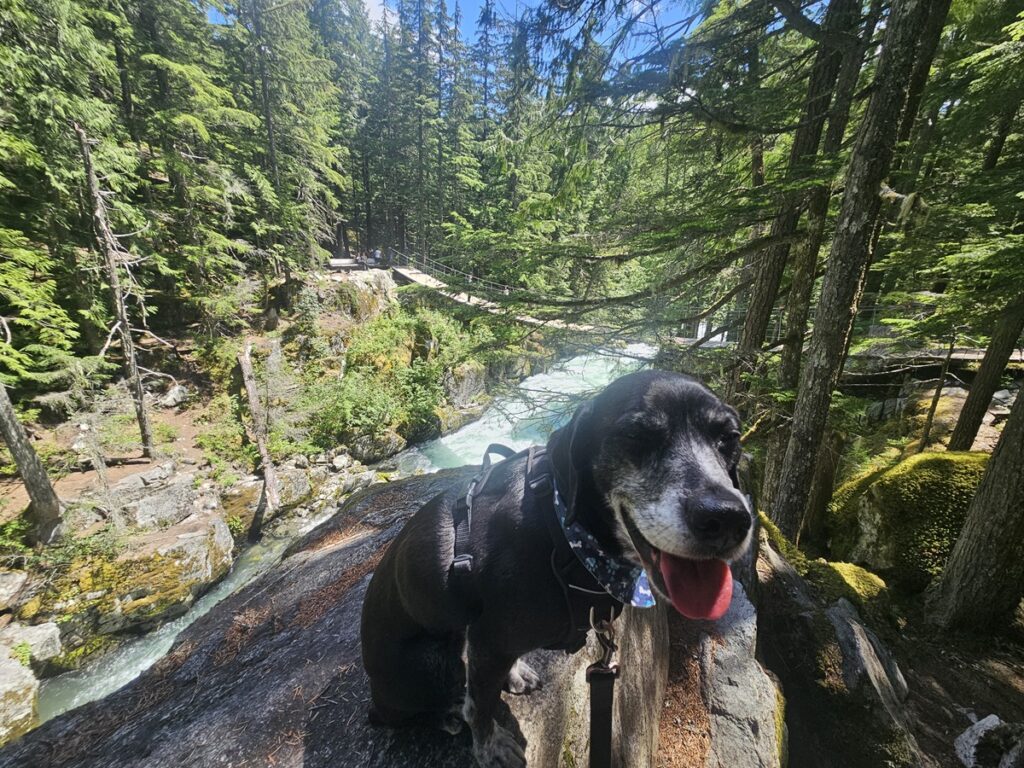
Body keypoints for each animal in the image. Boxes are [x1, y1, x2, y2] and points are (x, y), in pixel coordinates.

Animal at [360, 370, 753, 765]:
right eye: (636, 436)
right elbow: (481, 706)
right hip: (430, 662)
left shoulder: (489, 640)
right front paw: (490, 746)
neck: (564, 532)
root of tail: (375, 695)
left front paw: (512, 675)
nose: (726, 518)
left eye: (729, 438)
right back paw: (448, 712)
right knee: (410, 709)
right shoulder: (489, 638)